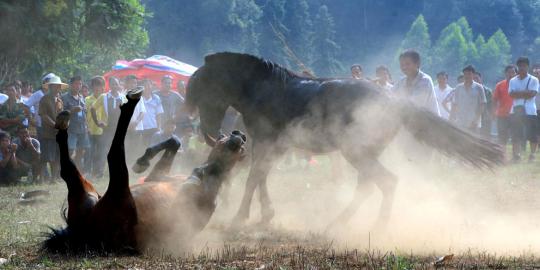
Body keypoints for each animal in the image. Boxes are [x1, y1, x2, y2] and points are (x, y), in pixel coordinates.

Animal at [44, 88, 247, 253]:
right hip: (89, 194)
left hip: (120, 194)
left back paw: (130, 102)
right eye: (224, 138)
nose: (239, 135)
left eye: (239, 149)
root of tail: (82, 234)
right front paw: (144, 160)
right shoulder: (158, 176)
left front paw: (198, 174)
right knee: (69, 169)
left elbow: (197, 173)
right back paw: (64, 121)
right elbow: (174, 142)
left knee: (112, 156)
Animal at [187, 52, 506, 228]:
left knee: (386, 182)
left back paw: (374, 227)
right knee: (368, 186)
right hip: (364, 154)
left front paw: (240, 217)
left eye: (203, 89)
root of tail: (395, 101)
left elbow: (254, 177)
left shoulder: (267, 141)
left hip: (357, 152)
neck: (265, 88)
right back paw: (339, 223)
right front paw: (265, 214)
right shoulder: (274, 145)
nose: (210, 133)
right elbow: (261, 176)